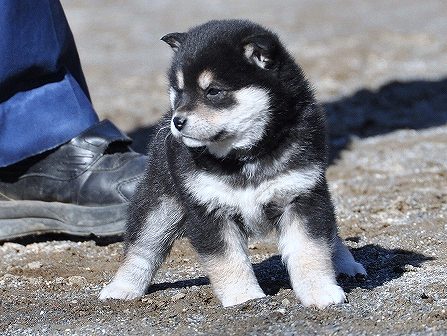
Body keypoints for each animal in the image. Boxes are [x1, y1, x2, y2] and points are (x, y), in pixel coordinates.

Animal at [100, 18, 366, 308]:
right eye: (179, 91)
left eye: (213, 92)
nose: (177, 121)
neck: (245, 156)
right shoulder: (208, 208)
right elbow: (227, 260)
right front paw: (244, 297)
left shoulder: (302, 194)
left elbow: (310, 249)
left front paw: (320, 291)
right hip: (161, 205)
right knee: (142, 247)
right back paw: (122, 287)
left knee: (331, 233)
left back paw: (346, 264)